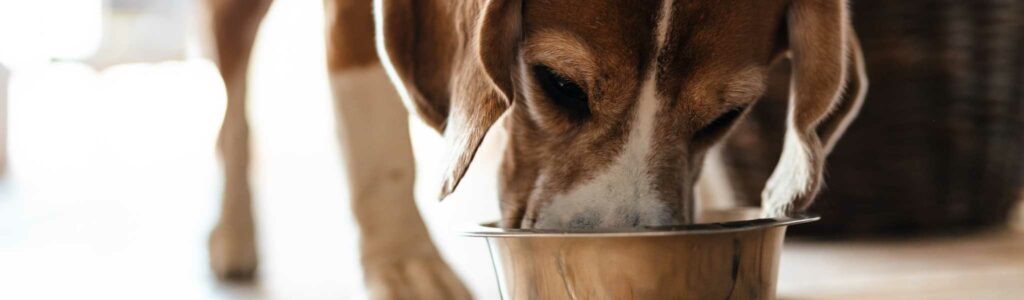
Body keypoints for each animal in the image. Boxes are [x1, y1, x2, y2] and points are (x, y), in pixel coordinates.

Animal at [201, 0, 864, 296]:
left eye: (724, 118)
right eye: (559, 85)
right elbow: (376, 139)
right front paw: (405, 266)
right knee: (230, 105)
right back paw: (233, 235)